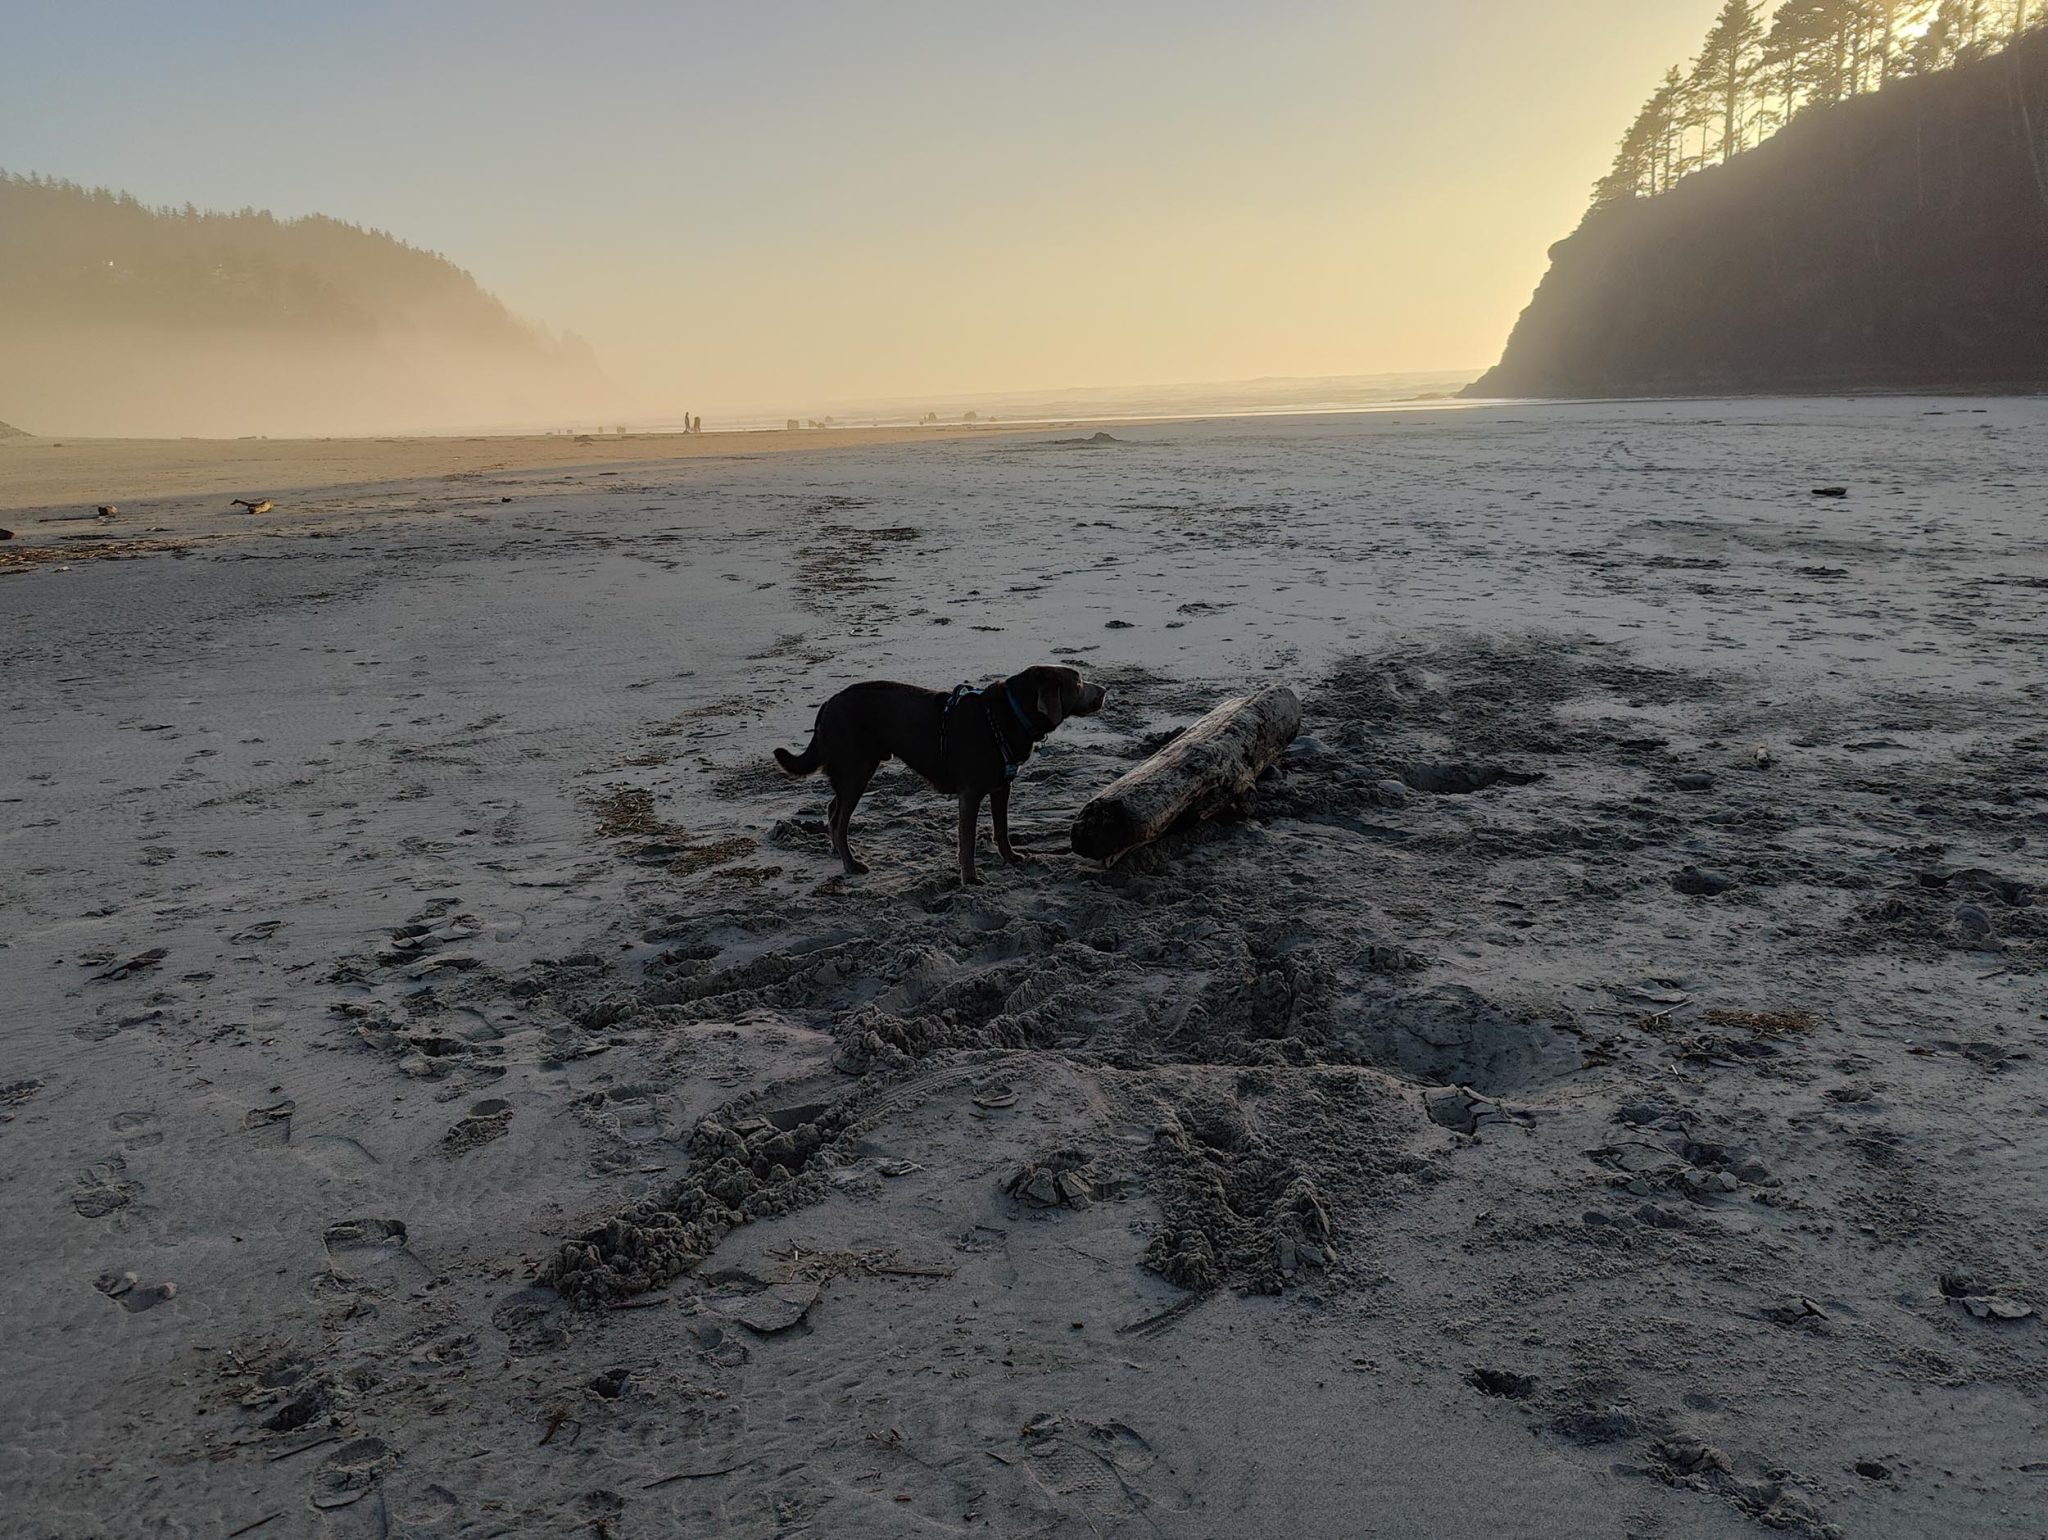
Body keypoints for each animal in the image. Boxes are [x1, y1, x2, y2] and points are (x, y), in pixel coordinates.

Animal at [774, 665, 1107, 884]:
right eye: (1078, 681)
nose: (1104, 690)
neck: (1007, 715)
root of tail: (827, 705)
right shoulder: (970, 794)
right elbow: (968, 841)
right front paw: (970, 878)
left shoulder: (1002, 787)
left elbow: (1001, 829)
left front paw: (1011, 857)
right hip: (857, 770)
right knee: (838, 819)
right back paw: (851, 863)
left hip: (850, 772)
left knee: (832, 810)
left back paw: (837, 852)